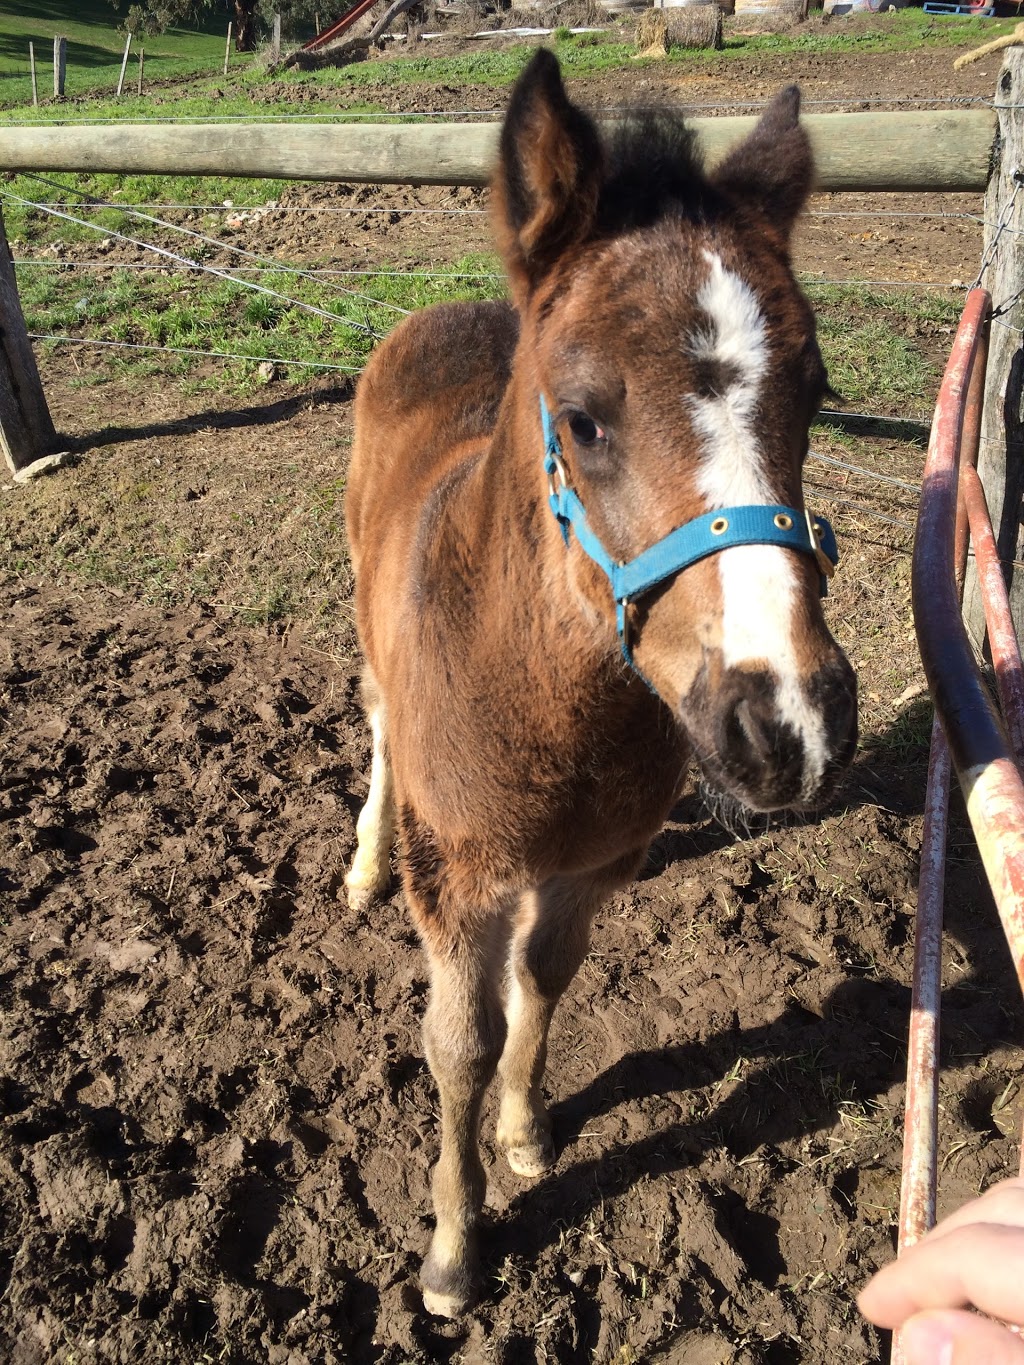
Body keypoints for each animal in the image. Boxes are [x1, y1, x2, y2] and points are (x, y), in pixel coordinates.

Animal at [342, 48, 857, 1315]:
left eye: (814, 395)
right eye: (580, 419)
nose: (788, 723)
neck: (550, 711)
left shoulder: (590, 868)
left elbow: (546, 982)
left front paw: (527, 1133)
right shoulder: (464, 881)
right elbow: (459, 1043)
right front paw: (452, 1249)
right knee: (375, 721)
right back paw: (363, 862)